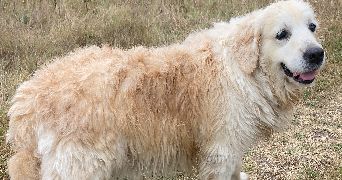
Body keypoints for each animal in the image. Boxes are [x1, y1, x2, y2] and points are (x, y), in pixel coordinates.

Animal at [7, 0, 324, 179]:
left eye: (312, 27)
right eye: (282, 34)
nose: (316, 54)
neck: (243, 68)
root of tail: (29, 97)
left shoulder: (231, 149)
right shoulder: (220, 151)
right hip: (80, 167)